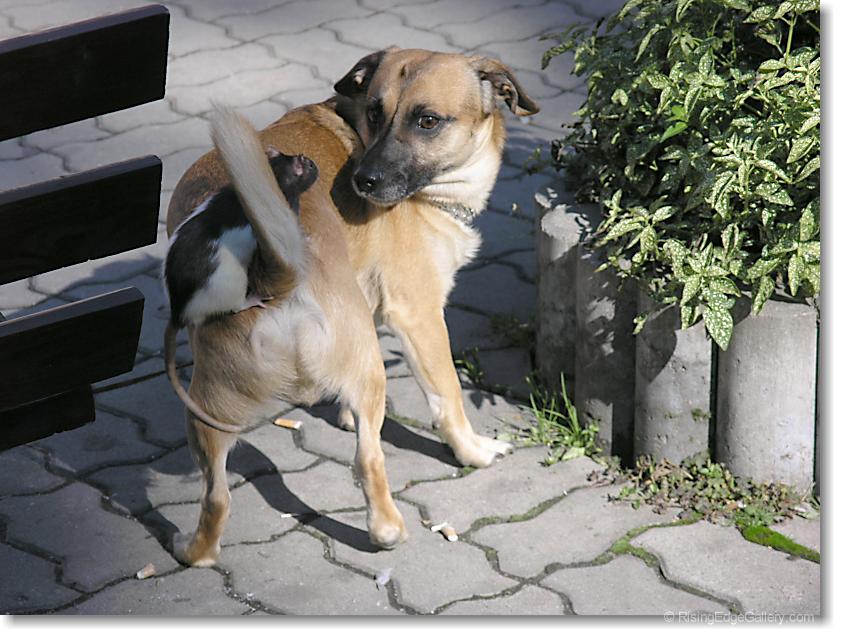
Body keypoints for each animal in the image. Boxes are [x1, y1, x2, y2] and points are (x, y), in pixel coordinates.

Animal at [165, 48, 538, 566]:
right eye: (376, 112)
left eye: (427, 120)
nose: (364, 180)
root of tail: (272, 273)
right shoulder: (420, 316)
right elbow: (447, 396)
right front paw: (472, 449)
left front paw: (343, 414)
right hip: (367, 371)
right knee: (369, 460)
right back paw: (387, 530)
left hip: (204, 413)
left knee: (217, 498)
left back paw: (193, 550)